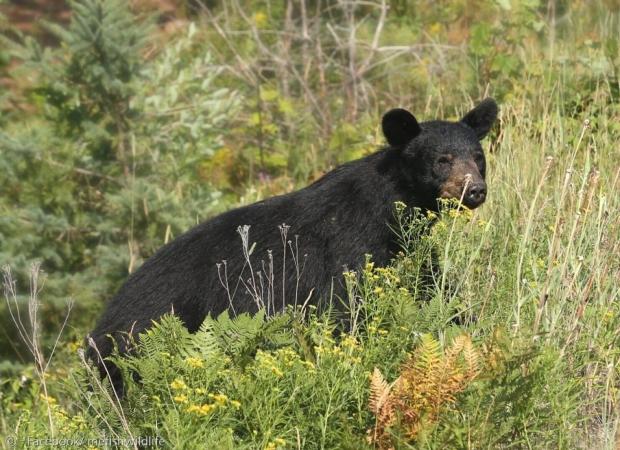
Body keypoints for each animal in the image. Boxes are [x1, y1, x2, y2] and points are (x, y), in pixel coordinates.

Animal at [87, 99, 498, 390]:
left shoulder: (405, 249)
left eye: (478, 157)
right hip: (143, 337)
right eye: (443, 159)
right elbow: (345, 307)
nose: (475, 190)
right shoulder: (349, 247)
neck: (390, 206)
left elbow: (435, 285)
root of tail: (100, 323)